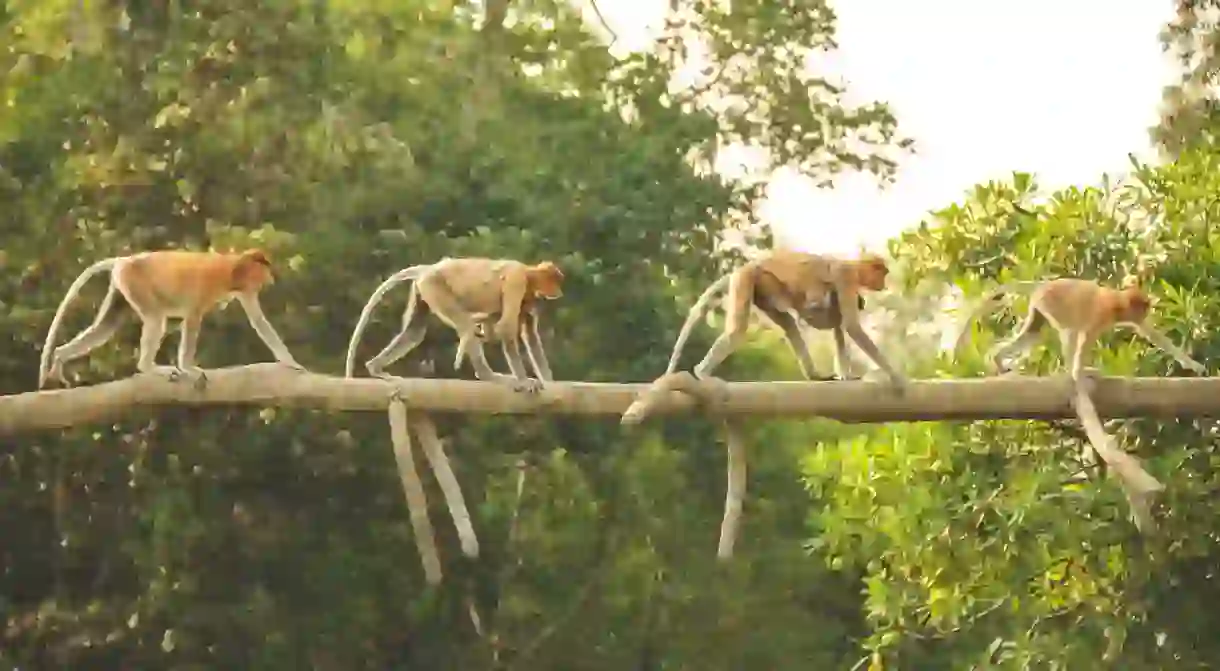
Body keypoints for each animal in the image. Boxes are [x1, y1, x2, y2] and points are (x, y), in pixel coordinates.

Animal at [39, 251, 305, 390]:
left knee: (105, 325)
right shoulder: (208, 286)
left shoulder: (246, 291)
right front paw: (189, 368)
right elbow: (192, 319)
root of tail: (125, 259)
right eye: (265, 269)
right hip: (136, 282)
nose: (271, 279)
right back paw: (149, 367)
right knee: (156, 319)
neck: (232, 269)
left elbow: (259, 321)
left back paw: (60, 355)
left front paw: (291, 362)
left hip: (122, 286)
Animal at [341, 258, 563, 395]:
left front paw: (550, 381)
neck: (528, 273)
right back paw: (489, 375)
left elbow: (530, 334)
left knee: (414, 331)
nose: (558, 293)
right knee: (465, 324)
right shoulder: (515, 282)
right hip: (435, 286)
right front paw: (524, 382)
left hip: (423, 289)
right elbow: (506, 327)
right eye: (554, 282)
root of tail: (428, 268)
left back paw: (375, 367)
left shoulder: (527, 302)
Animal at [663, 251, 902, 390]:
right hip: (747, 279)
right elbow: (848, 325)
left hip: (764, 289)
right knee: (737, 330)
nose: (884, 283)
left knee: (788, 323)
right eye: (883, 273)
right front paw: (895, 377)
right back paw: (701, 373)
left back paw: (815, 376)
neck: (852, 265)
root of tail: (749, 265)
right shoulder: (845, 278)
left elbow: (836, 322)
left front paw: (847, 376)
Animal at [956, 279, 1205, 383]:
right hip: (1052, 305)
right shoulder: (1101, 314)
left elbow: (1152, 334)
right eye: (1142, 307)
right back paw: (1072, 373)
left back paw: (997, 360)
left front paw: (1194, 365)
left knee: (1033, 332)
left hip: (1039, 309)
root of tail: (1042, 285)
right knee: (1070, 331)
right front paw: (1080, 372)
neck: (1118, 302)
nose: (1144, 314)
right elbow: (1086, 338)